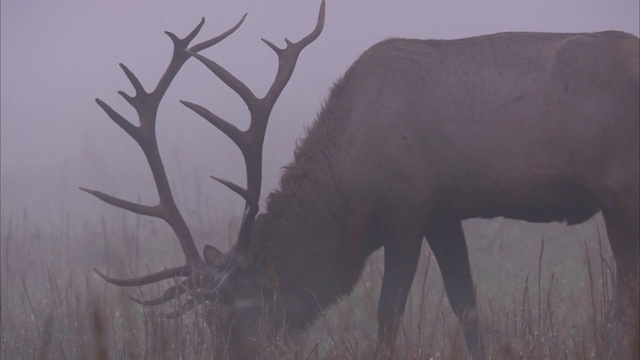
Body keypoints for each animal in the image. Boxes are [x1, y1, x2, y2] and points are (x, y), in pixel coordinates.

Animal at [82, 1, 636, 358]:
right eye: (204, 319)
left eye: (239, 312)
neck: (349, 196)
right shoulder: (443, 210)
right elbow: (466, 306)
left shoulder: (406, 208)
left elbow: (388, 313)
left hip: (621, 188)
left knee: (623, 296)